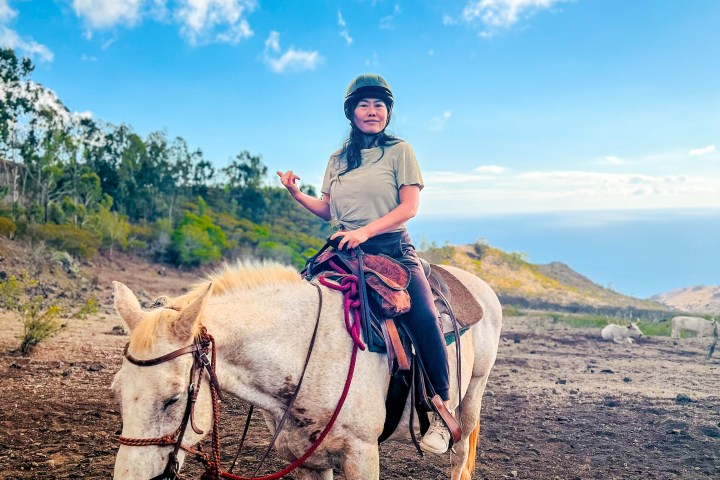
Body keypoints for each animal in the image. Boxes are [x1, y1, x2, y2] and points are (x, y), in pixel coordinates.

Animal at [111, 261, 503, 479]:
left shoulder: (362, 455)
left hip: (473, 392)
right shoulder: (307, 460)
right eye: (117, 391)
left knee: (460, 452)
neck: (305, 355)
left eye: (173, 398)